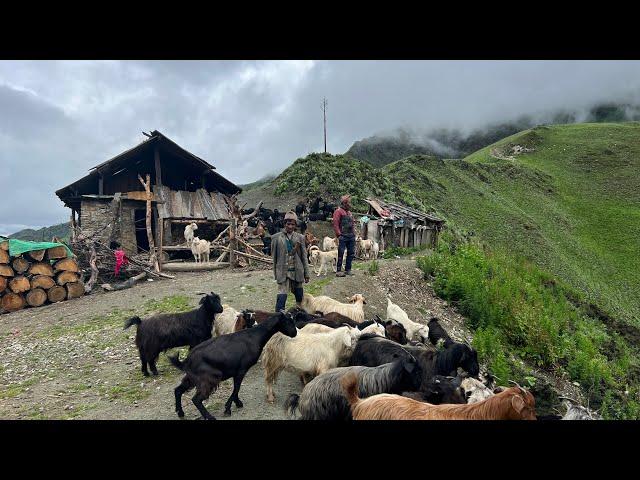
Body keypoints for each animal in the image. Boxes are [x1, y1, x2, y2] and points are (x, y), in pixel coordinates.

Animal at [170, 310, 300, 418]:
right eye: (288, 321)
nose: (294, 333)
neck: (254, 335)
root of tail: (187, 360)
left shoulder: (235, 371)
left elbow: (236, 389)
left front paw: (236, 403)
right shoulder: (241, 369)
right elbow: (236, 388)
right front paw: (229, 408)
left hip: (192, 377)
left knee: (178, 390)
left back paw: (180, 413)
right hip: (209, 378)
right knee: (196, 399)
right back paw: (209, 417)